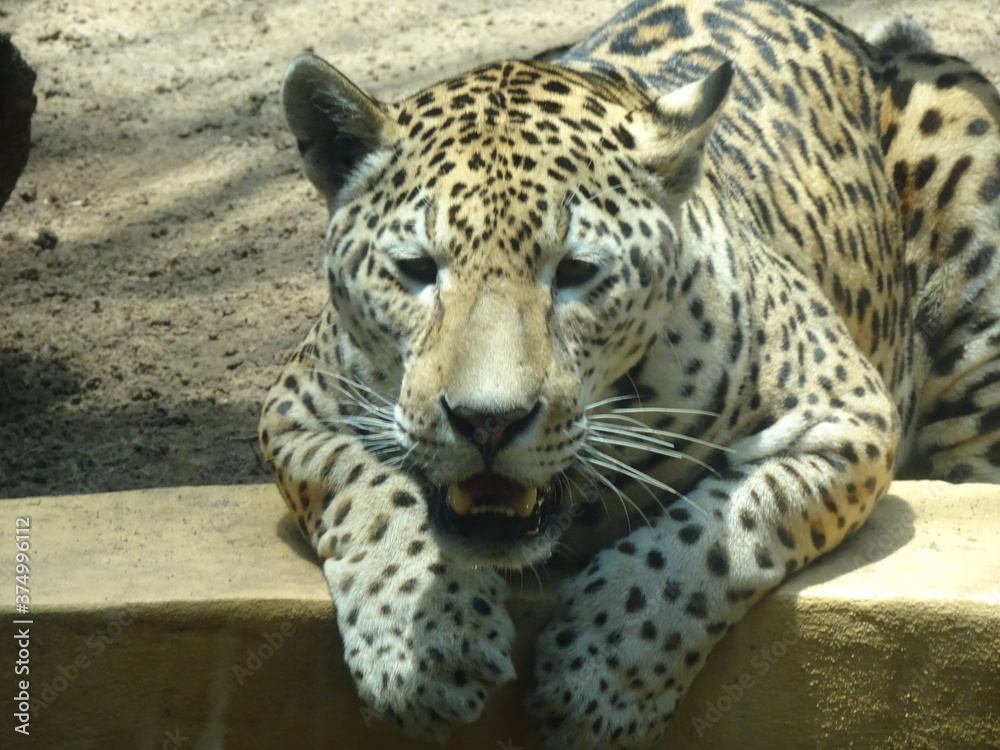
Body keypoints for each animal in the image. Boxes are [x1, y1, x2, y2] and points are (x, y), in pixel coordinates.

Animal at [258, 0, 1000, 748]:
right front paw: (426, 647)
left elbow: (713, 534)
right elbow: (372, 491)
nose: (486, 423)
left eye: (576, 273)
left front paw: (600, 674)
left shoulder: (846, 412)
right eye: (415, 269)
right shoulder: (294, 407)